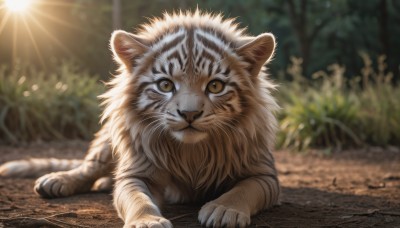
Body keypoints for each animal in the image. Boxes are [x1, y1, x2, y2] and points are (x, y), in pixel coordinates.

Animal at [0, 10, 280, 228]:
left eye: (215, 86)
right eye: (165, 85)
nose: (189, 114)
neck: (192, 151)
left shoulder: (264, 175)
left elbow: (241, 191)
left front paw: (224, 210)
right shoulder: (135, 173)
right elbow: (138, 199)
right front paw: (147, 221)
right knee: (88, 168)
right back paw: (57, 180)